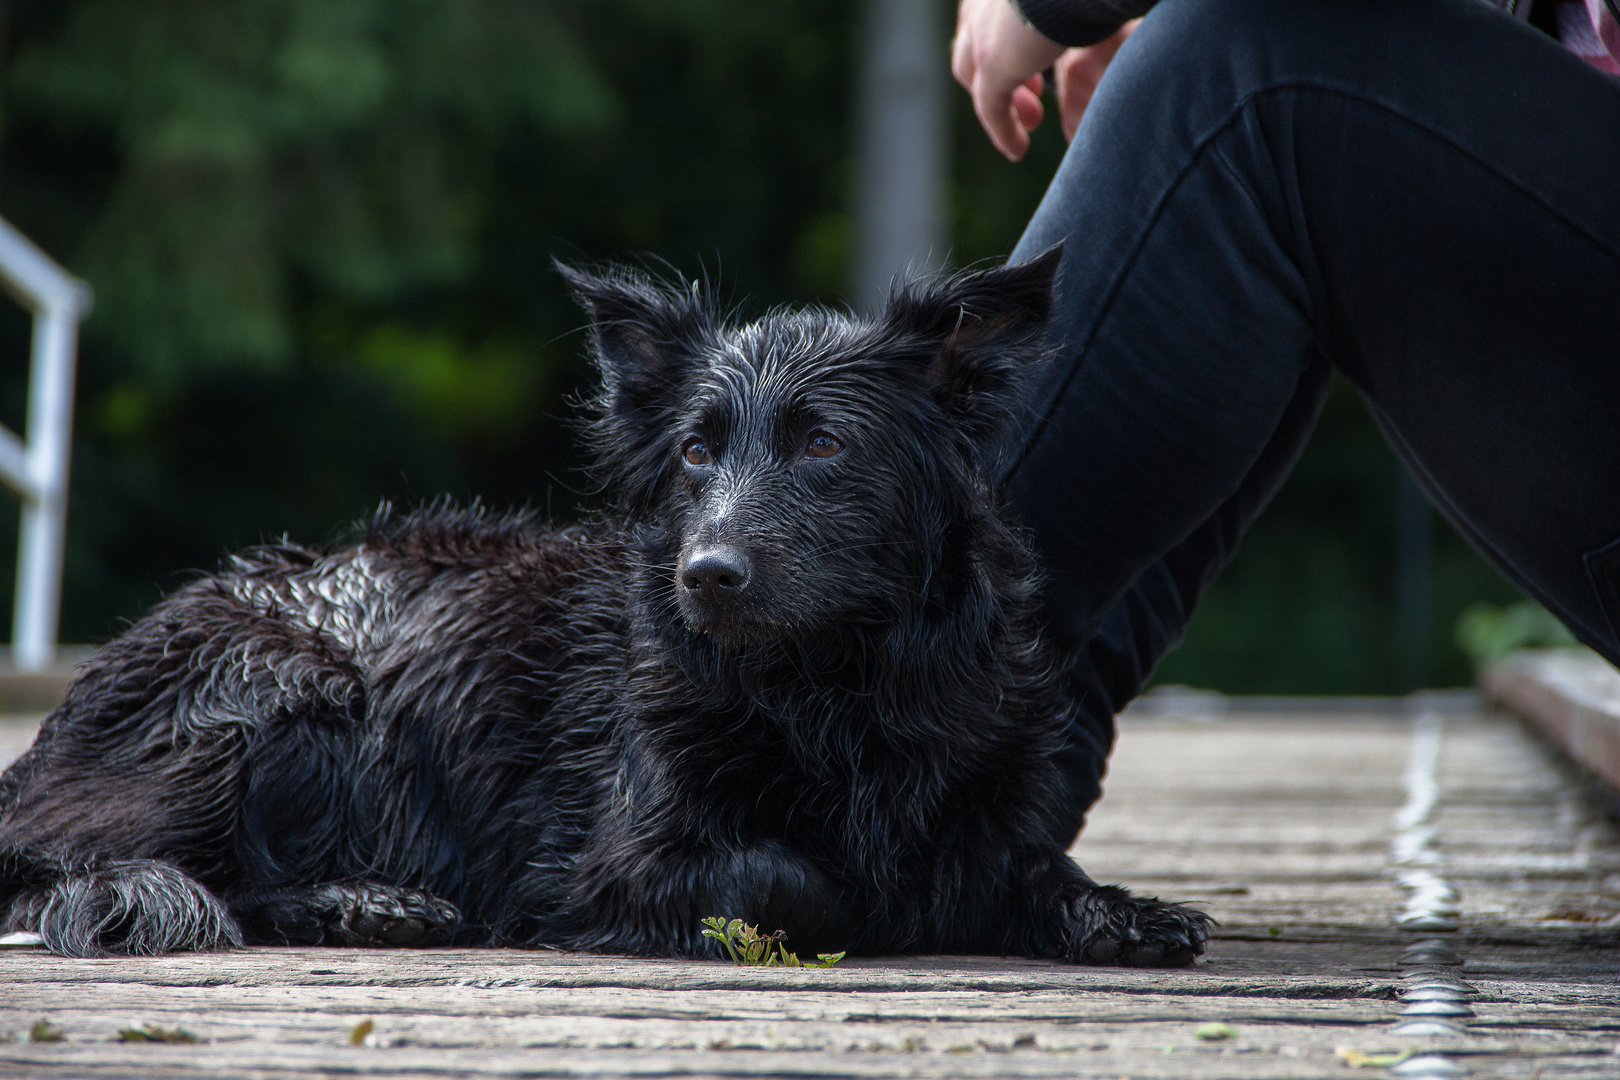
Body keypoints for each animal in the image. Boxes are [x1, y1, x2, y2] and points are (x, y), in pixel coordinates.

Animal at [0, 254, 1205, 965]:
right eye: (696, 452)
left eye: (824, 444)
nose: (707, 575)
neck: (831, 687)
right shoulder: (612, 864)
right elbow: (794, 877)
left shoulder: (982, 802)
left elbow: (1028, 866)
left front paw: (1121, 910)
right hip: (283, 695)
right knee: (65, 870)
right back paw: (353, 902)